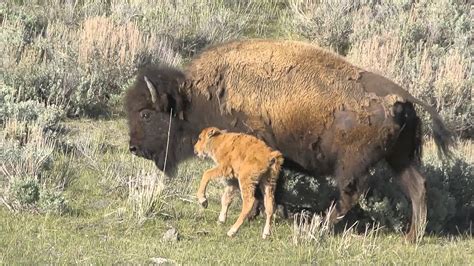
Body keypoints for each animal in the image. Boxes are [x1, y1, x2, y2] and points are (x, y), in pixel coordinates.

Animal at [125, 39, 452, 241]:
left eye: (146, 114)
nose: (133, 147)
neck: (196, 96)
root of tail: (404, 98)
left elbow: (256, 188)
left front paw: (257, 214)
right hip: (399, 158)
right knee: (417, 186)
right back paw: (412, 236)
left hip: (352, 164)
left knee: (351, 193)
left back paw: (322, 225)